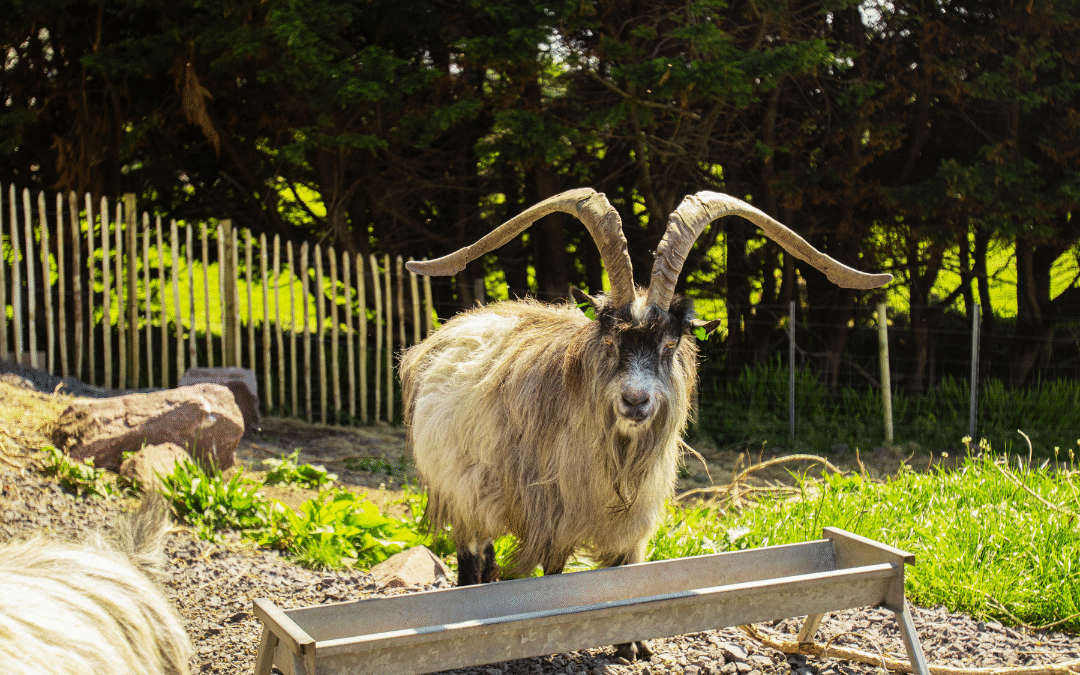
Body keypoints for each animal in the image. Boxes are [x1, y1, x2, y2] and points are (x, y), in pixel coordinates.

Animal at [400, 188, 890, 661]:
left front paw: (632, 644)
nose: (635, 400)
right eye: (611, 339)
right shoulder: (545, 514)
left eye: (671, 342)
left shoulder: (634, 519)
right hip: (466, 493)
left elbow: (628, 577)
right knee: (473, 561)